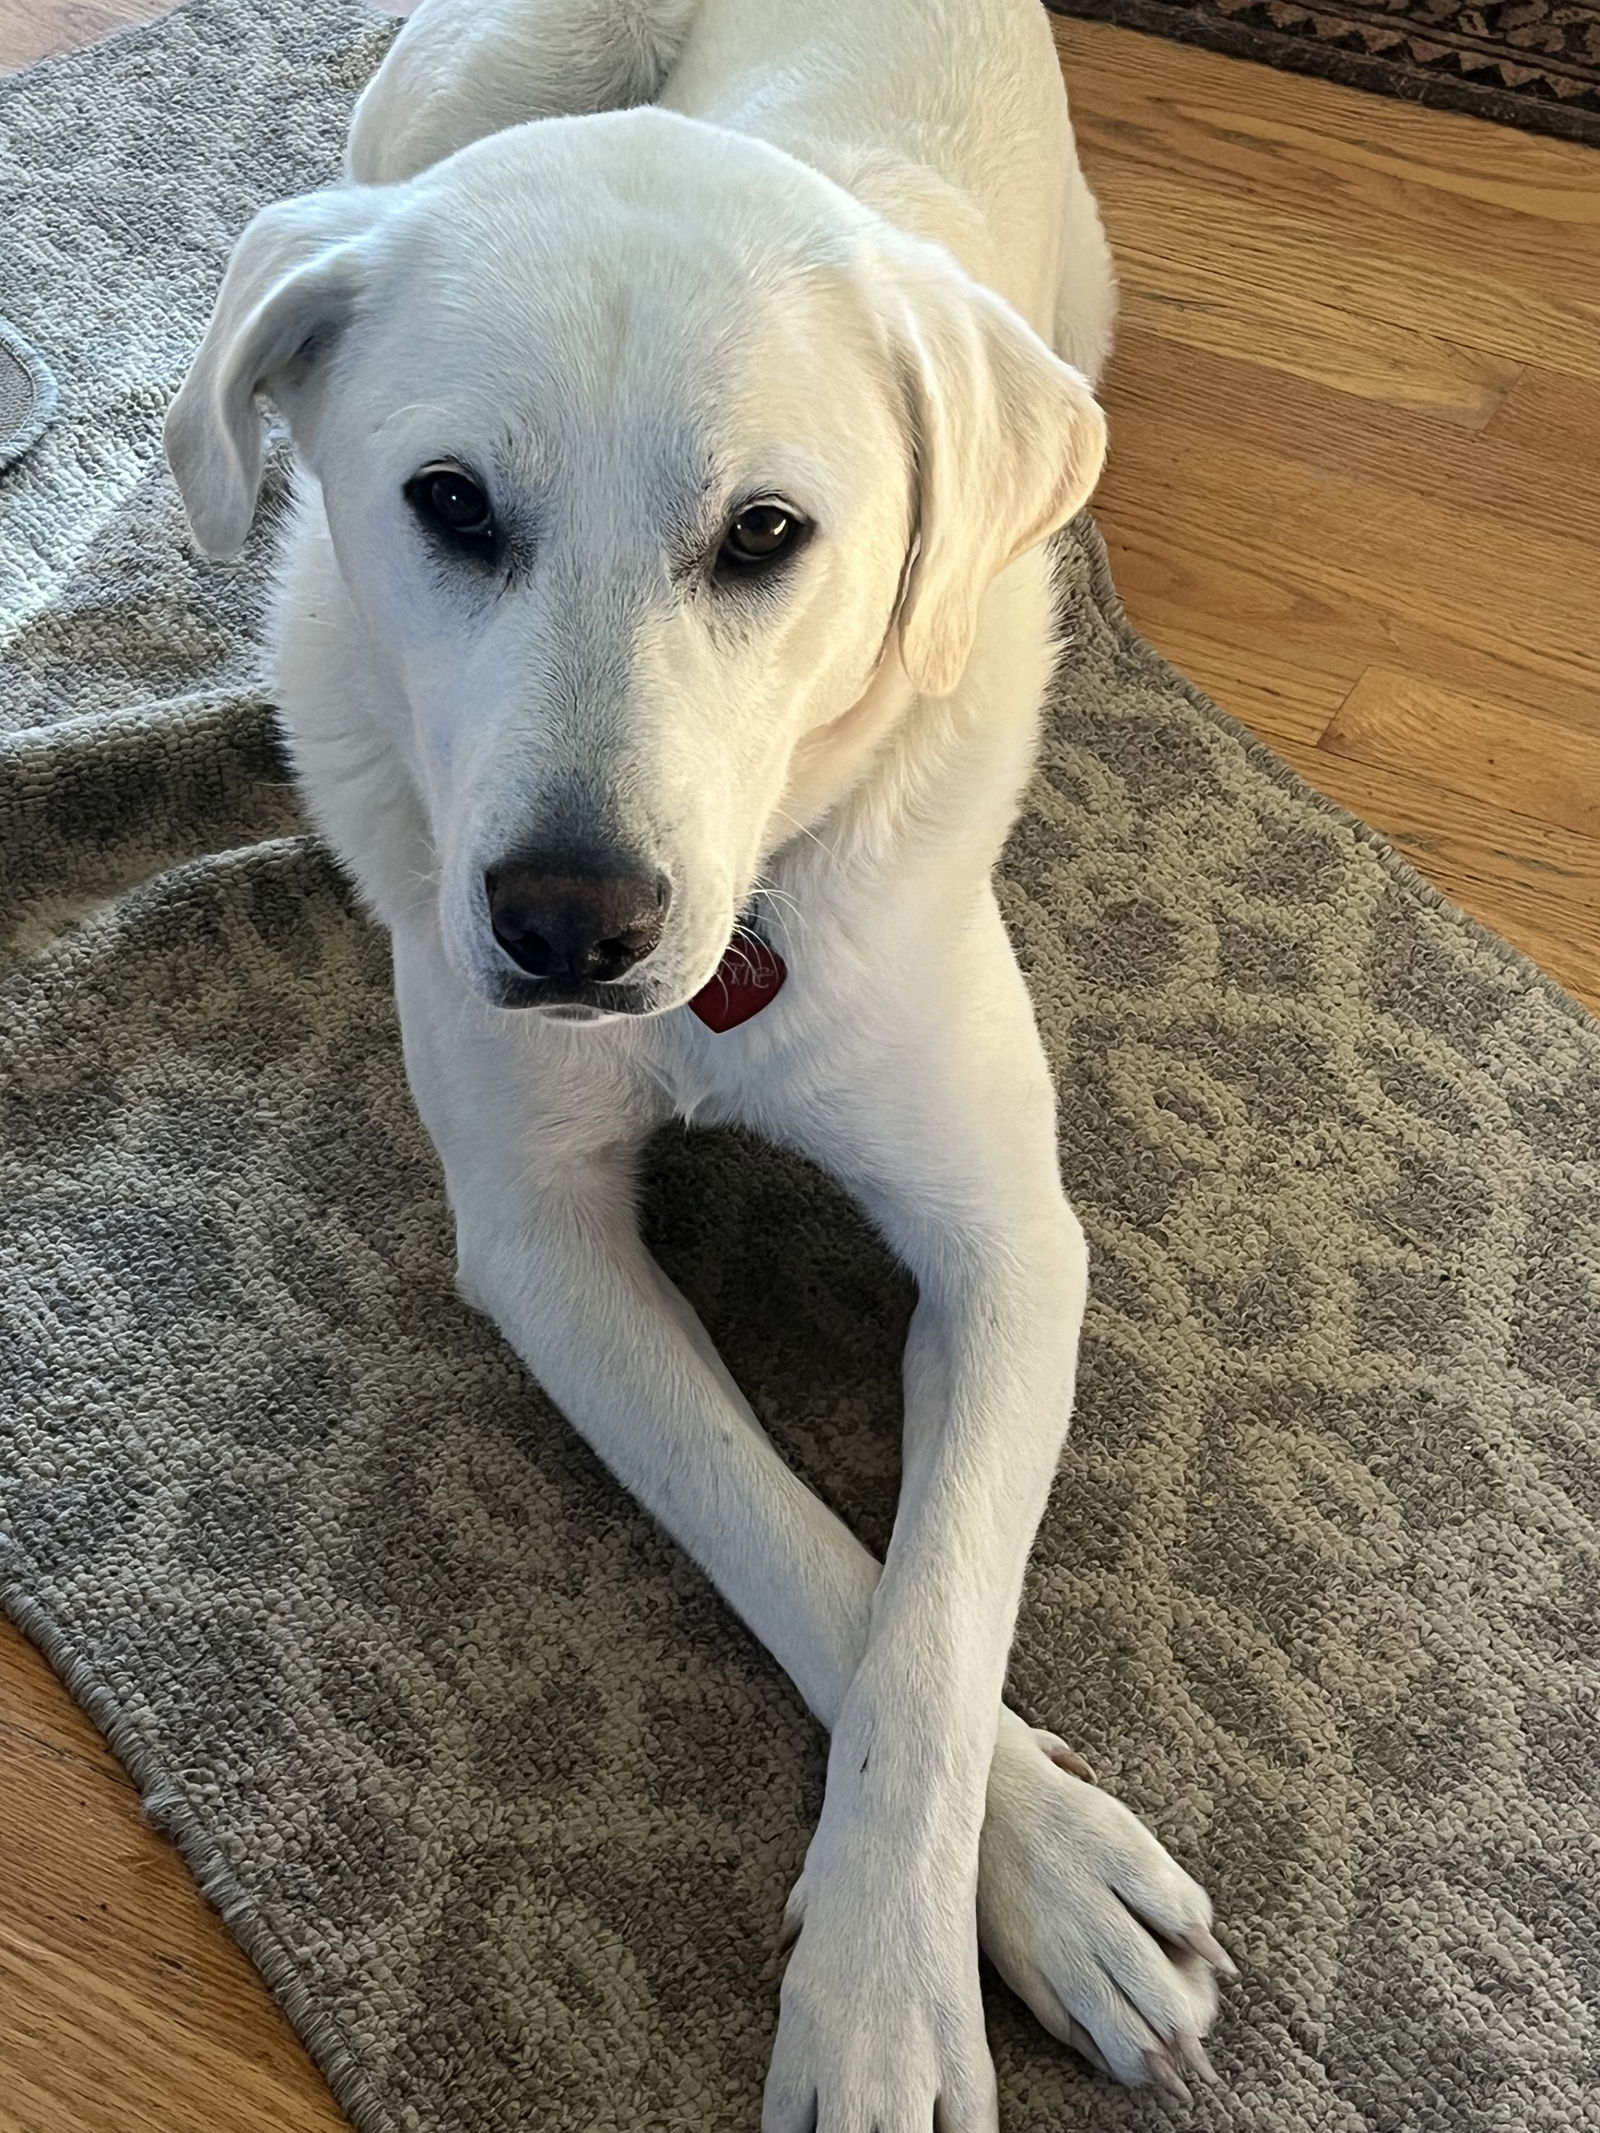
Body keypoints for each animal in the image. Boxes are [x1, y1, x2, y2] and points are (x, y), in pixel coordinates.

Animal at [166, 0, 1237, 2115]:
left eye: (764, 537)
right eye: (449, 505)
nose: (569, 924)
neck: (728, 972)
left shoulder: (1013, 1240)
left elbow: (936, 1617)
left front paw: (914, 1970)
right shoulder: (544, 1243)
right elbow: (797, 1547)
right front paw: (1017, 1890)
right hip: (446, 97)